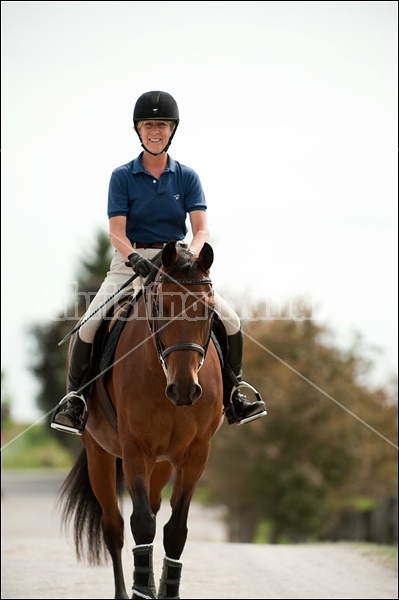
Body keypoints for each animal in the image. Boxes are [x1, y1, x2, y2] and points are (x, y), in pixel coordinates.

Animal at [56, 243, 225, 600]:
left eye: (208, 310)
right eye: (161, 306)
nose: (185, 389)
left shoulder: (196, 453)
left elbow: (175, 528)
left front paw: (167, 591)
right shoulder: (135, 449)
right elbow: (141, 523)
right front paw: (141, 588)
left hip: (161, 464)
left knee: (155, 506)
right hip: (100, 455)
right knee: (114, 526)